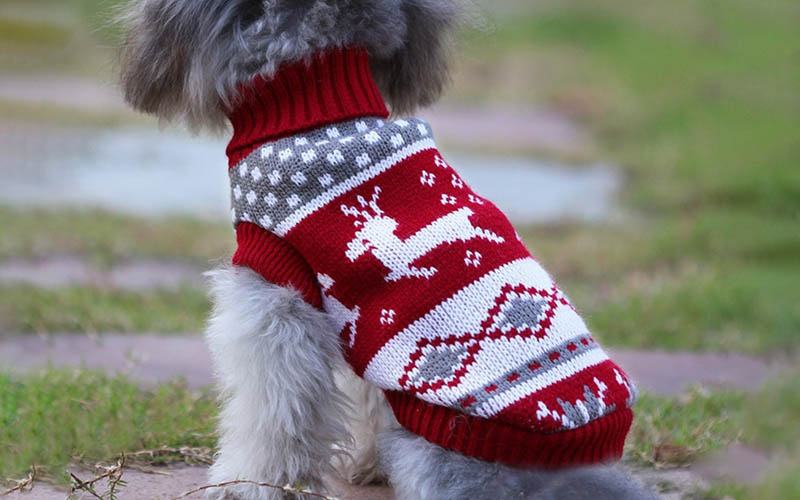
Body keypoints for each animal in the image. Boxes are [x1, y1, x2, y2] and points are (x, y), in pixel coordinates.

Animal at [117, 0, 656, 500]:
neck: (317, 104)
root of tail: (568, 475)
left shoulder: (277, 292)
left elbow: (274, 411)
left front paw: (249, 483)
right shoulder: (363, 326)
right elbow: (368, 396)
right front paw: (363, 465)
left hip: (437, 447)